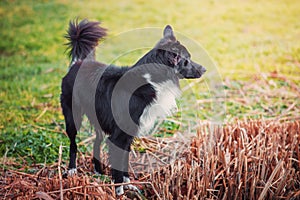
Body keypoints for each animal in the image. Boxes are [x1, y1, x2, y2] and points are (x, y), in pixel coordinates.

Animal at [61, 19, 206, 195]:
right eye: (187, 60)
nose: (204, 69)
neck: (151, 80)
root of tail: (78, 63)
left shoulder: (128, 133)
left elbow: (124, 161)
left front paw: (128, 183)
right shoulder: (118, 136)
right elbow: (118, 165)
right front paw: (119, 191)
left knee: (97, 140)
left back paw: (98, 170)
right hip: (72, 116)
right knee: (73, 143)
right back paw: (72, 170)